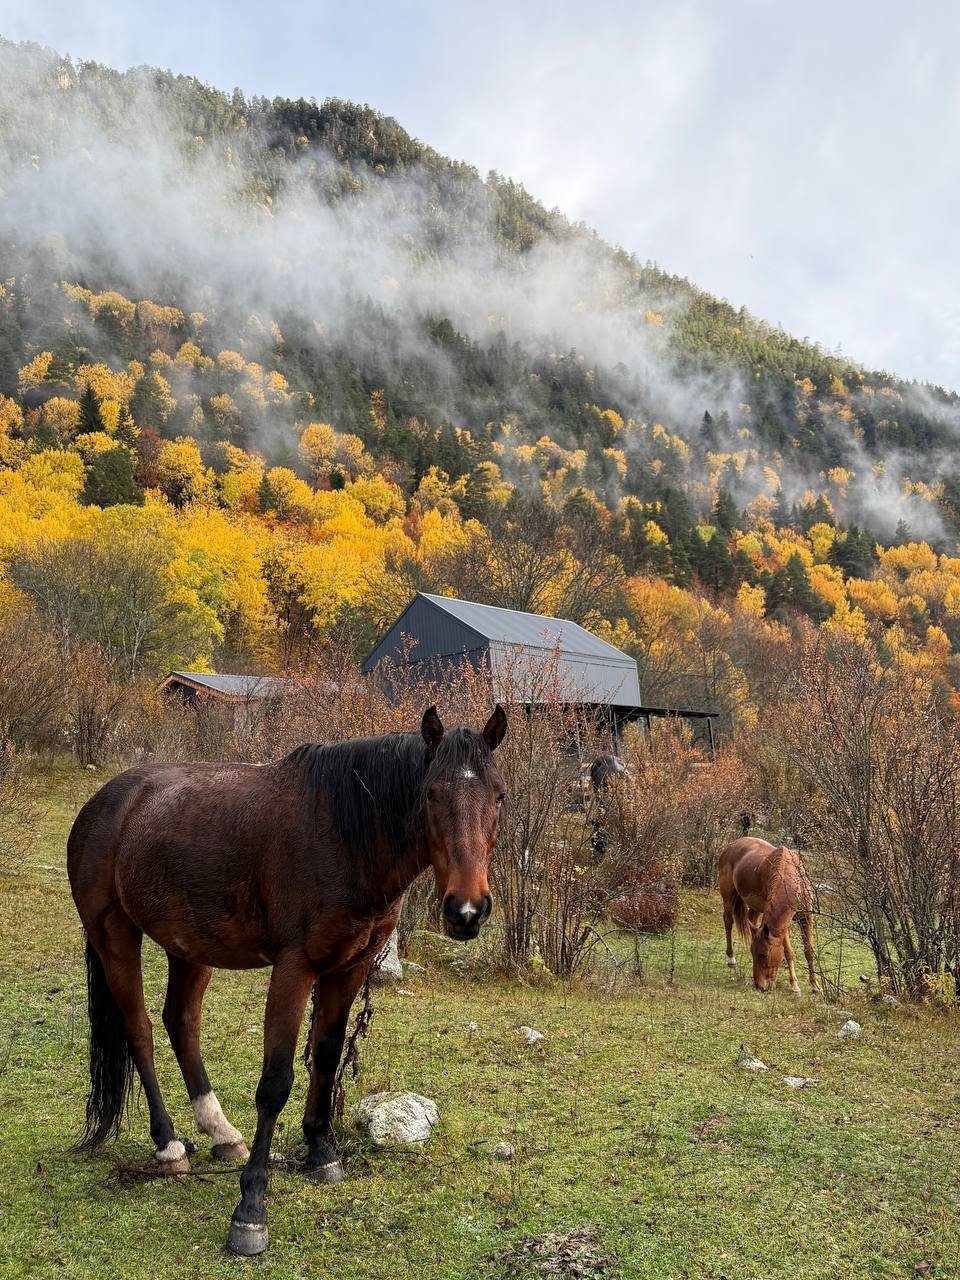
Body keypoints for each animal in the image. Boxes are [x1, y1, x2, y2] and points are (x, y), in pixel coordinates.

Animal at [67, 704, 507, 1257]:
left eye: (498, 796)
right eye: (430, 793)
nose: (467, 911)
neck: (344, 834)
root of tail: (103, 802)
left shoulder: (349, 966)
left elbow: (327, 1054)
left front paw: (321, 1151)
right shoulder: (294, 968)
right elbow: (275, 1082)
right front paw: (250, 1211)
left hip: (189, 946)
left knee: (181, 1024)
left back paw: (222, 1134)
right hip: (114, 936)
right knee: (140, 1030)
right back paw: (169, 1146)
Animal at [717, 837, 821, 995]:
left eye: (763, 955)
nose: (759, 986)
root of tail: (731, 845)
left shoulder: (806, 919)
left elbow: (808, 950)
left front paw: (815, 985)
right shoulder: (783, 926)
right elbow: (788, 952)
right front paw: (794, 985)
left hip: (756, 908)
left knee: (751, 921)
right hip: (728, 896)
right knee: (728, 921)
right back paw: (731, 958)